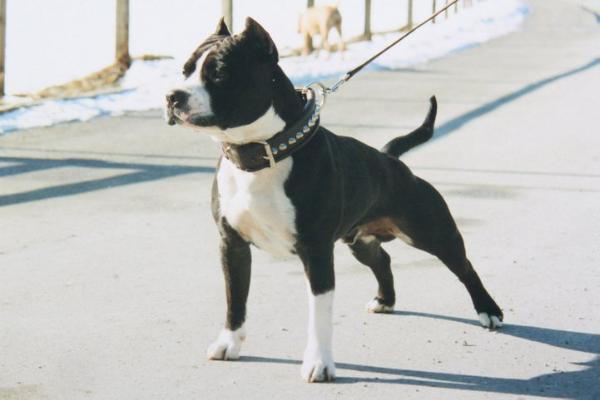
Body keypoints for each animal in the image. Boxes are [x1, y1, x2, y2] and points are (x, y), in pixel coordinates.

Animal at [166, 18, 504, 382]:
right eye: (185, 70)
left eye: (219, 73)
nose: (172, 96)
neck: (261, 153)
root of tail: (389, 157)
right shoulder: (233, 246)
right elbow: (235, 298)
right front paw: (229, 343)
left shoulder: (315, 252)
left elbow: (319, 314)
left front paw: (319, 363)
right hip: (360, 241)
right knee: (382, 260)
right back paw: (385, 300)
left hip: (432, 232)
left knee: (464, 267)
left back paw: (489, 310)